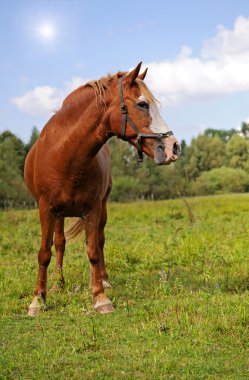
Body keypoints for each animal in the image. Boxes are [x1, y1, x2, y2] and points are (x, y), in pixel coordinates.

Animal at [24, 62, 179, 316]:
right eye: (143, 104)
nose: (173, 147)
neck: (66, 154)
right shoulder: (46, 209)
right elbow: (45, 253)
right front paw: (38, 300)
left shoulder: (93, 208)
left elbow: (94, 251)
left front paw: (100, 297)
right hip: (58, 215)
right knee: (60, 244)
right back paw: (58, 284)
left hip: (102, 208)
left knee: (99, 239)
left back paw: (103, 280)